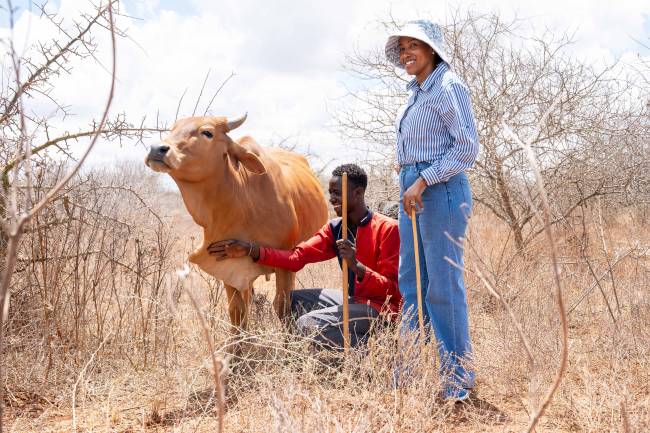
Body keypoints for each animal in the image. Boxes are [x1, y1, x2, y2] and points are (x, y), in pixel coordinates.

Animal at [144, 113, 326, 330]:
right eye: (173, 129)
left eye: (207, 132)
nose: (156, 149)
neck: (243, 202)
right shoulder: (228, 266)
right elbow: (237, 311)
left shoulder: (287, 260)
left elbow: (282, 307)